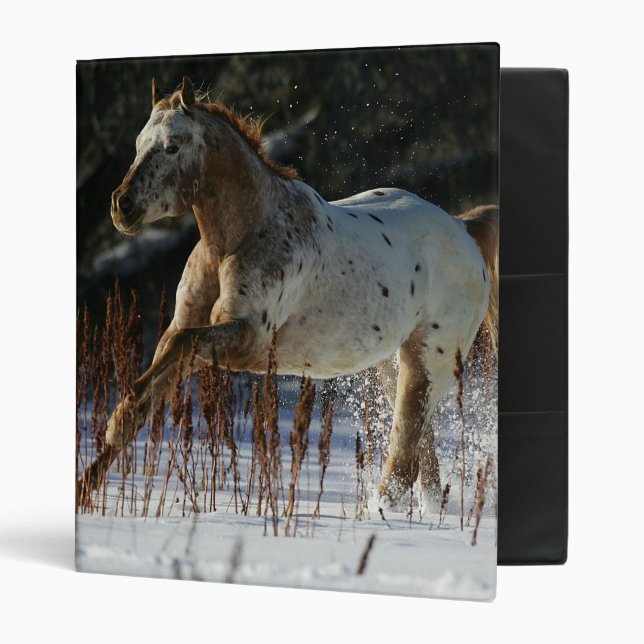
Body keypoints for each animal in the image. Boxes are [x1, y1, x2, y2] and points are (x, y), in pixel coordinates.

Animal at [79, 76, 498, 515]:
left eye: (173, 146)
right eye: (139, 144)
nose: (122, 206)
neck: (239, 238)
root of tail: (463, 228)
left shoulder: (245, 339)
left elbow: (179, 349)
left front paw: (117, 417)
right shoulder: (184, 325)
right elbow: (155, 384)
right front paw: (88, 484)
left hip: (427, 365)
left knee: (403, 464)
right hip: (393, 365)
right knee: (422, 463)